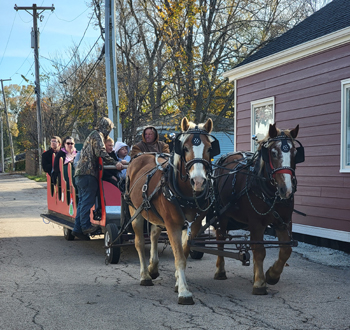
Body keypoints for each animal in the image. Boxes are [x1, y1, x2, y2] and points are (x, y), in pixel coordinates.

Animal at [125, 117, 219, 306]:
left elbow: (184, 252)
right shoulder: (173, 225)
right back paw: (145, 275)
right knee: (139, 242)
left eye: (210, 148)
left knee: (153, 234)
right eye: (185, 148)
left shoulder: (193, 225)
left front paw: (178, 282)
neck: (186, 193)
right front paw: (184, 291)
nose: (198, 181)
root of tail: (143, 156)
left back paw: (153, 267)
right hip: (135, 211)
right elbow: (179, 257)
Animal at [212, 124, 304, 294]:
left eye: (295, 153)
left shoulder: (284, 221)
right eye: (273, 153)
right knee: (220, 240)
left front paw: (271, 275)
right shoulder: (256, 222)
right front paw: (260, 283)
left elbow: (285, 250)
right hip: (221, 214)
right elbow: (260, 251)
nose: (286, 190)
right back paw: (220, 271)